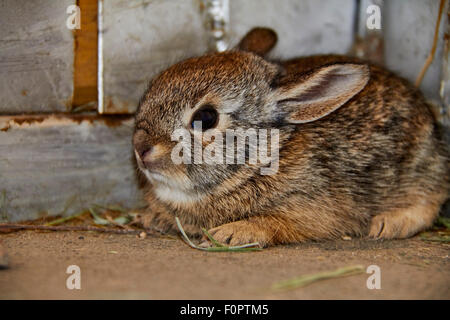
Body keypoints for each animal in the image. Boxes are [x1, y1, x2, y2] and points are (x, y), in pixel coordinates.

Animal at [134, 28, 450, 248]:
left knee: (430, 199)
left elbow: (277, 223)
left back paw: (389, 224)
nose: (141, 148)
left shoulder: (314, 208)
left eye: (206, 118)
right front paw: (151, 217)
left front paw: (232, 233)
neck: (264, 157)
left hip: (420, 166)